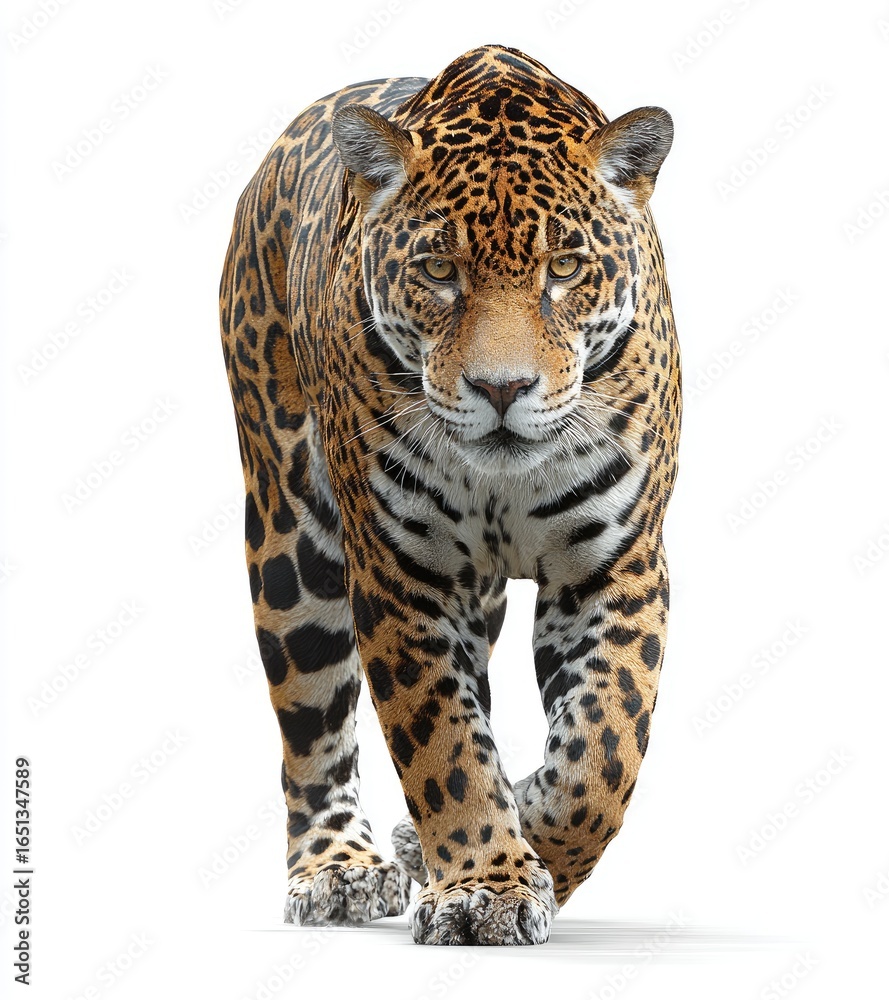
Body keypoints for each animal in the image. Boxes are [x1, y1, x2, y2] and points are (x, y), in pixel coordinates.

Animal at [219, 43, 680, 946]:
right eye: (438, 270)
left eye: (563, 269)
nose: (501, 388)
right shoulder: (401, 578)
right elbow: (443, 747)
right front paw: (484, 888)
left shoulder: (615, 570)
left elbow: (601, 754)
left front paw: (524, 843)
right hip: (292, 542)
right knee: (311, 726)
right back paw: (337, 868)